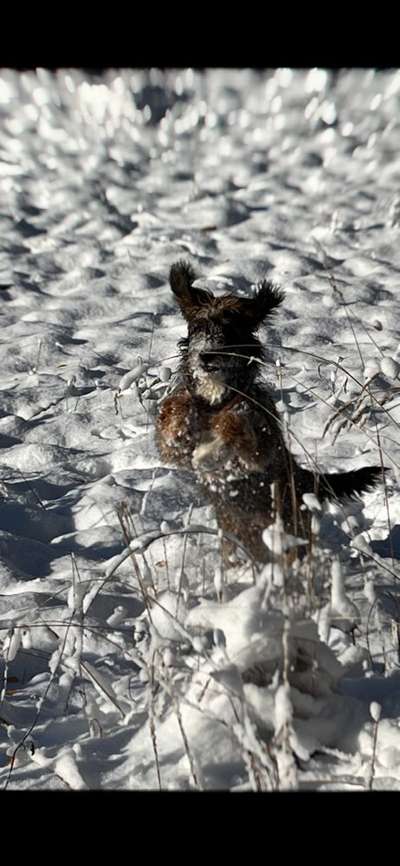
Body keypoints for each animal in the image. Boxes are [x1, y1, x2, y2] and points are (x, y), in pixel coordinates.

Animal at [155, 260, 382, 564]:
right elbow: (173, 419)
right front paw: (180, 417)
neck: (216, 399)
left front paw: (219, 439)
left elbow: (241, 423)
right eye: (197, 327)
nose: (206, 356)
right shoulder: (176, 449)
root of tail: (304, 478)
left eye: (230, 330)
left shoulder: (263, 444)